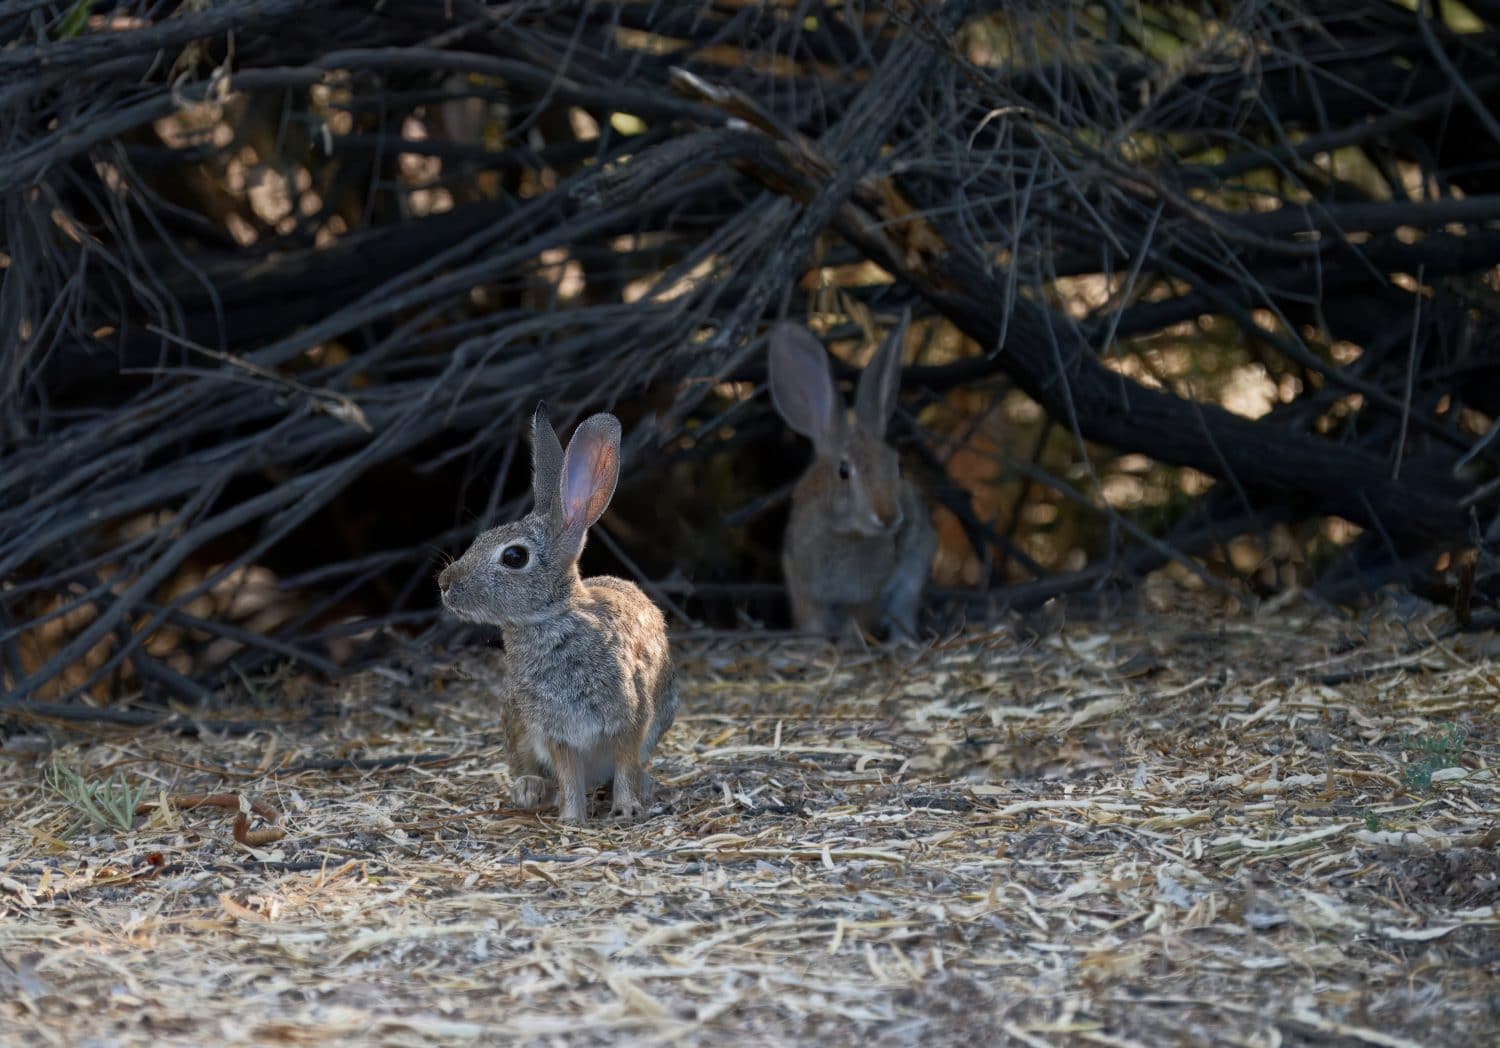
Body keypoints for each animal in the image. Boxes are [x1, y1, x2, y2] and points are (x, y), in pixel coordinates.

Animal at [438, 404, 678, 823]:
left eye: (514, 557)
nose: (444, 583)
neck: (553, 618)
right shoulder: (556, 732)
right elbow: (568, 775)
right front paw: (572, 818)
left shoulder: (630, 718)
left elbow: (625, 765)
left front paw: (627, 808)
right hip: (516, 719)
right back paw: (530, 790)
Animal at [768, 319, 936, 640]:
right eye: (844, 471)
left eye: (897, 466)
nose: (889, 517)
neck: (844, 532)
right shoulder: (802, 585)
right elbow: (812, 623)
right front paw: (815, 643)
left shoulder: (869, 594)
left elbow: (858, 622)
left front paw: (849, 643)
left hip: (913, 574)